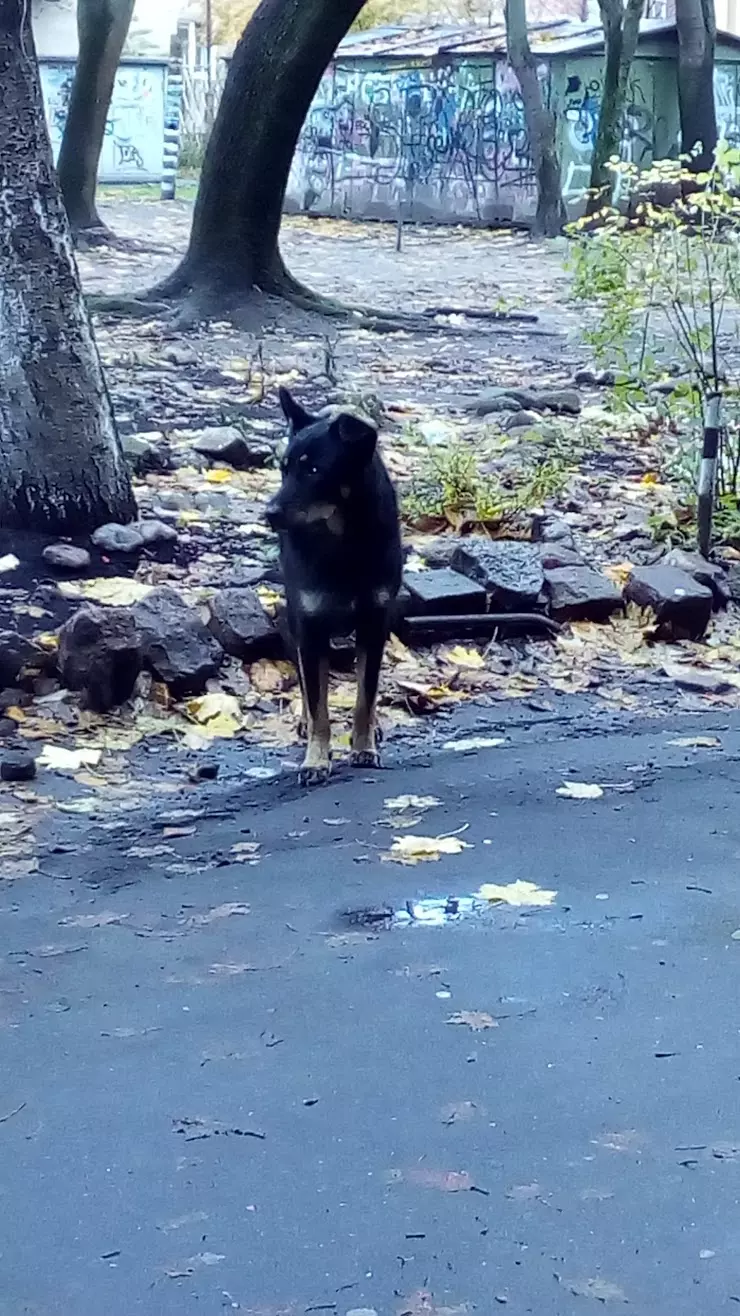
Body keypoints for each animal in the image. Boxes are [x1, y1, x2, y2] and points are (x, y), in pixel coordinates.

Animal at [264, 384, 400, 784]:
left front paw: (363, 747)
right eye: (284, 469)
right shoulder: (309, 628)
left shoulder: (374, 623)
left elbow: (365, 695)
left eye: (313, 470)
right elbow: (318, 704)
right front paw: (315, 760)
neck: (343, 543)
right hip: (291, 620)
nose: (269, 514)